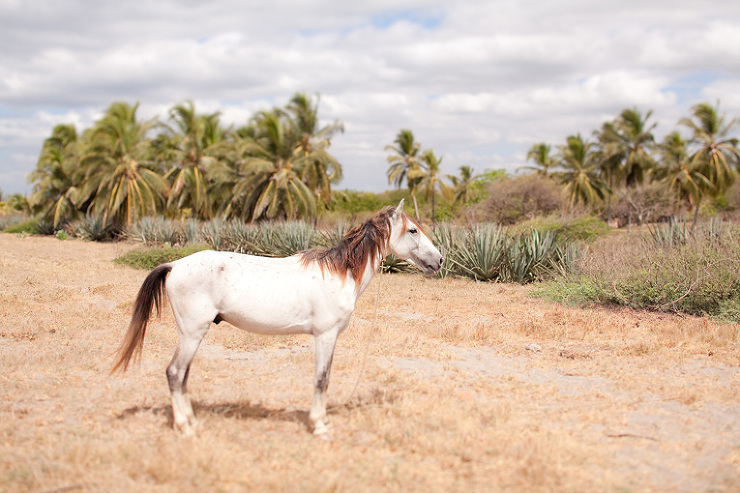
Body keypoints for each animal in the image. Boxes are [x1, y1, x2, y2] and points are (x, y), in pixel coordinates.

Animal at [112, 198, 442, 436]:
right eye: (413, 230)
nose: (439, 260)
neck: (339, 272)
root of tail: (174, 265)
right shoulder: (325, 336)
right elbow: (322, 379)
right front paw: (319, 426)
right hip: (192, 333)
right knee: (174, 373)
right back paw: (185, 428)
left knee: (182, 377)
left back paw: (192, 422)